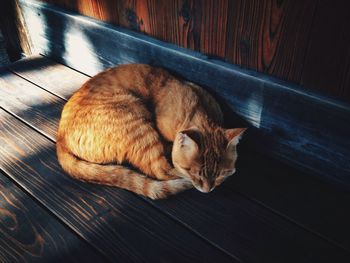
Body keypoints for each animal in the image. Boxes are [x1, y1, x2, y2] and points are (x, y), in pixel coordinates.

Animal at [56, 64, 245, 200]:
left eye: (220, 175)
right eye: (194, 173)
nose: (207, 190)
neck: (198, 109)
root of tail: (60, 138)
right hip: (139, 125)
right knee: (159, 170)